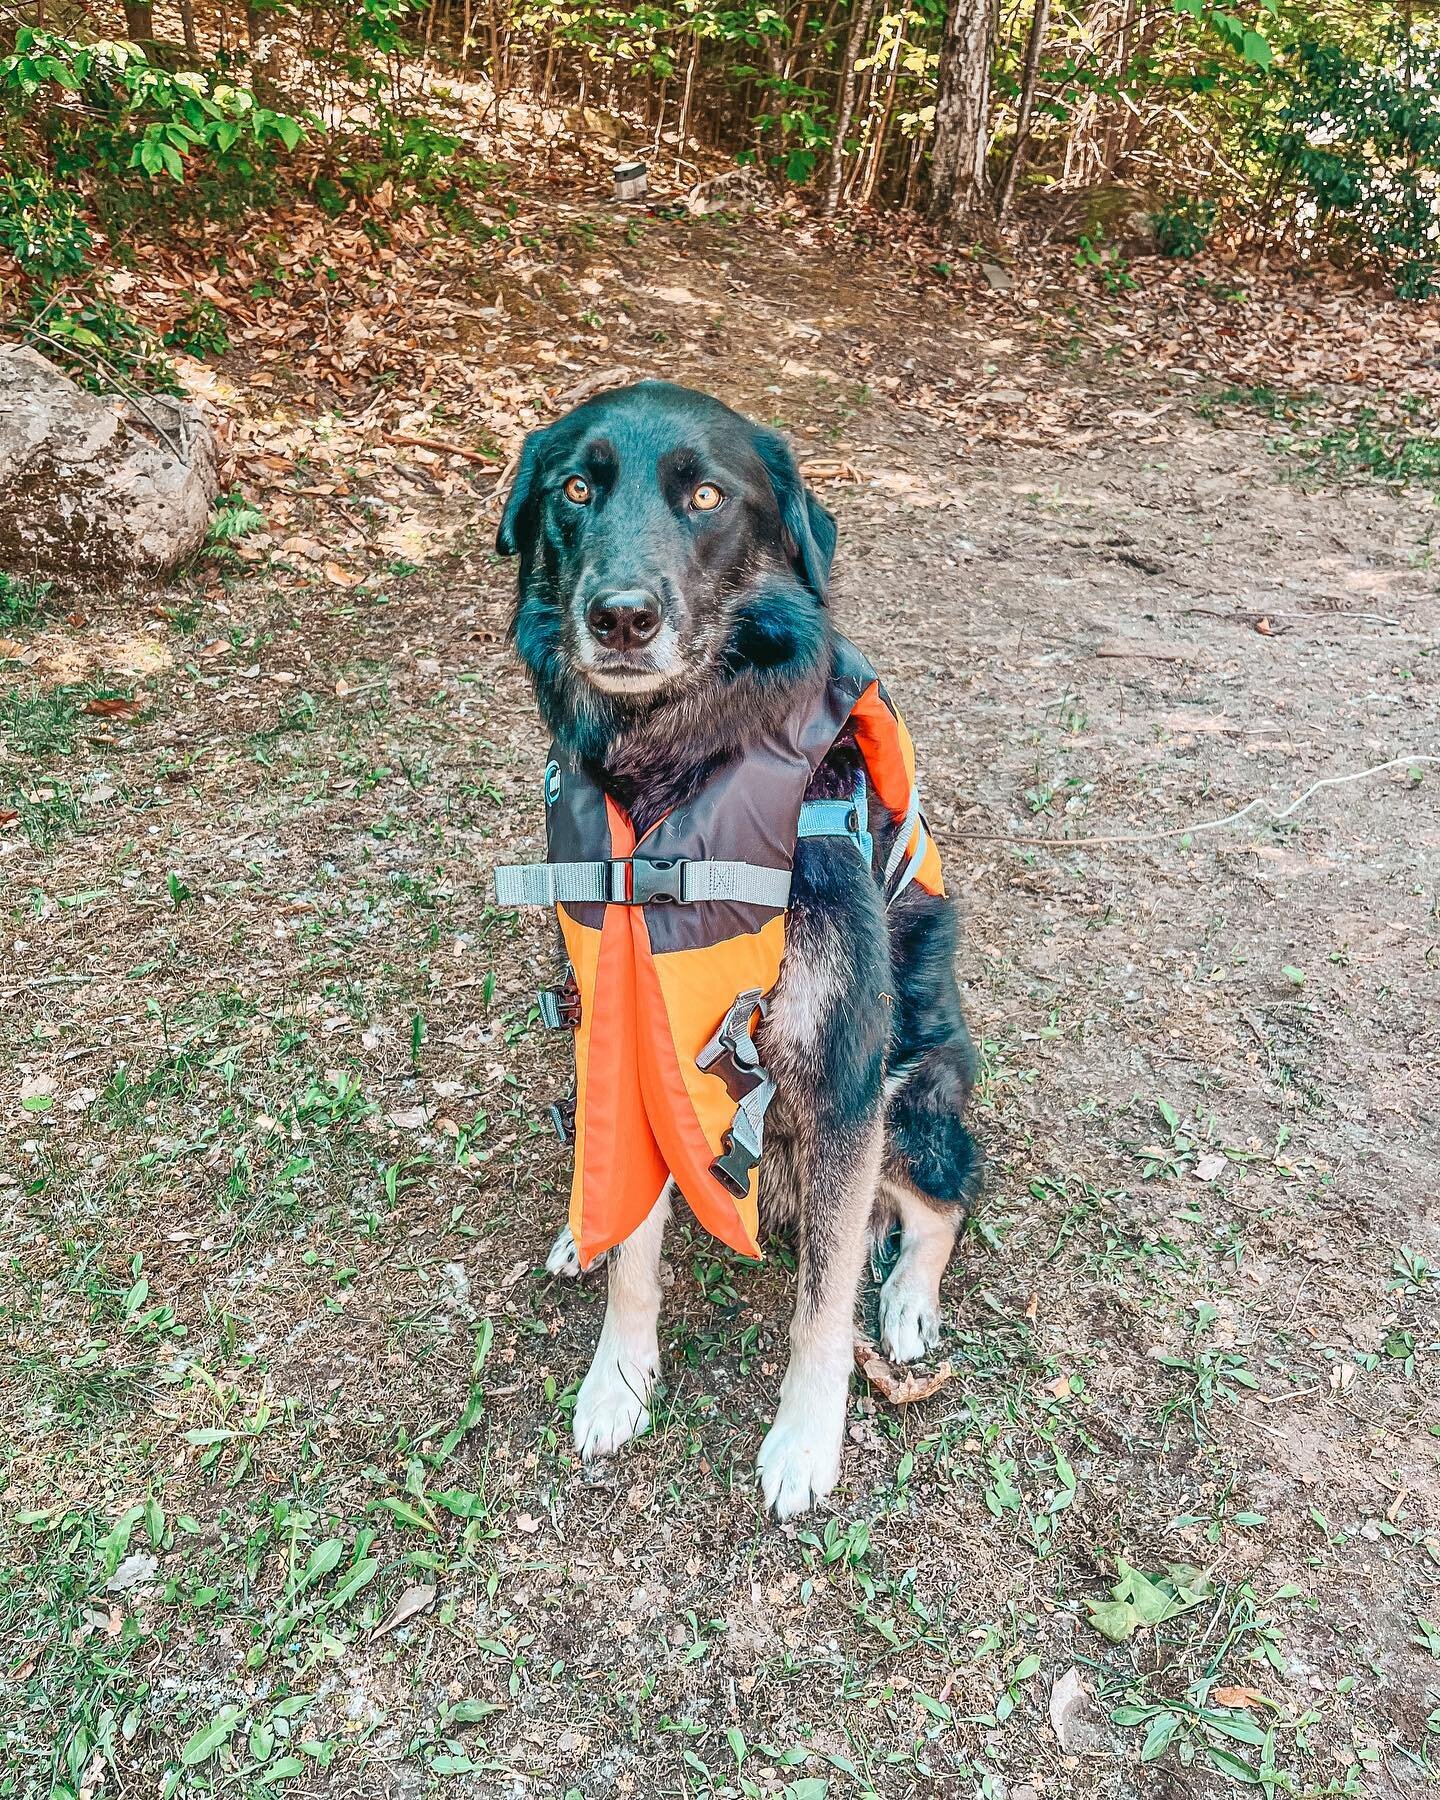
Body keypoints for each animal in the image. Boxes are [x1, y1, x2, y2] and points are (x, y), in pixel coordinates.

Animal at [496, 383, 979, 1519]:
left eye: (707, 495)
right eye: (575, 489)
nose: (621, 617)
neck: (676, 760)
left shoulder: (845, 1075)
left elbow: (822, 1307)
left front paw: (804, 1442)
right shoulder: (626, 1035)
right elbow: (636, 1251)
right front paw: (618, 1381)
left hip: (919, 1089)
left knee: (938, 1208)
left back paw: (908, 1303)